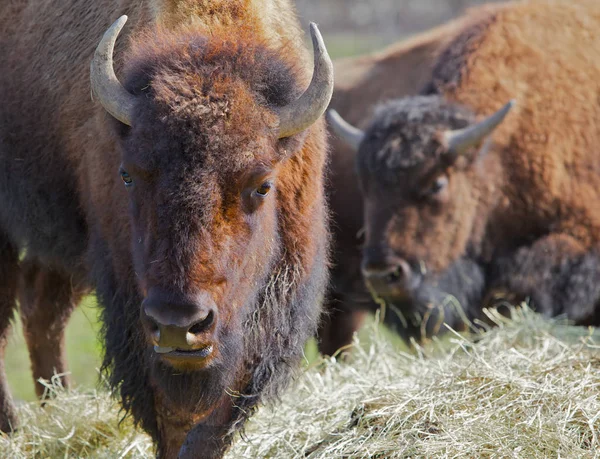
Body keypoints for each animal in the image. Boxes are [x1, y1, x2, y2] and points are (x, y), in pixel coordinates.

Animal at [0, 1, 332, 458]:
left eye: (262, 185)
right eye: (127, 175)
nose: (179, 322)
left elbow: (213, 421)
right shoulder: (133, 312)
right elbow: (170, 418)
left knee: (42, 313)